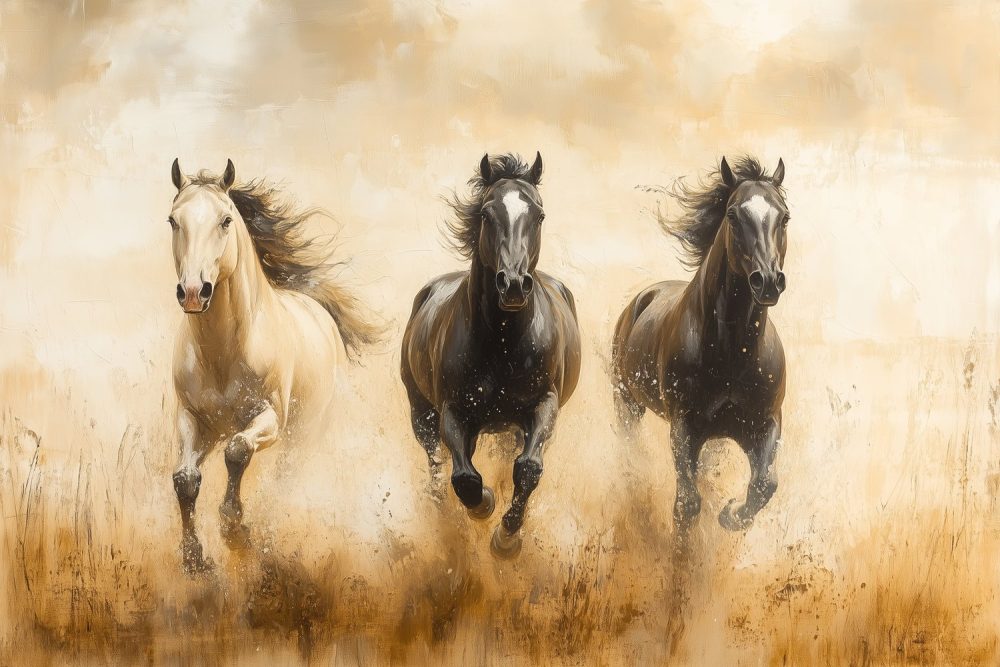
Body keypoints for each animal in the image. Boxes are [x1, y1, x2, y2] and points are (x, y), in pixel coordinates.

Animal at [166, 159, 378, 573]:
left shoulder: (270, 419)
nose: (195, 292)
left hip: (304, 435)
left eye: (225, 220)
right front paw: (194, 557)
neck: (223, 355)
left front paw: (235, 529)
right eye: (172, 220)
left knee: (286, 480)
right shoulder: (192, 419)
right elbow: (185, 478)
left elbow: (237, 451)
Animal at [400, 152, 582, 558]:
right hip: (421, 412)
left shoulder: (544, 404)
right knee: (437, 464)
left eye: (539, 215)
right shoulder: (453, 410)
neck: (503, 345)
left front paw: (507, 538)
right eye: (486, 213)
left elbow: (528, 468)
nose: (513, 284)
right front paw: (483, 503)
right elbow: (465, 477)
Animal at [611, 155, 789, 538]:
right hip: (627, 403)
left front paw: (730, 514)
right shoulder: (685, 427)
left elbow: (765, 484)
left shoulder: (765, 424)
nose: (767, 281)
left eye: (784, 217)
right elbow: (688, 503)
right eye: (733, 215)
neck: (735, 353)